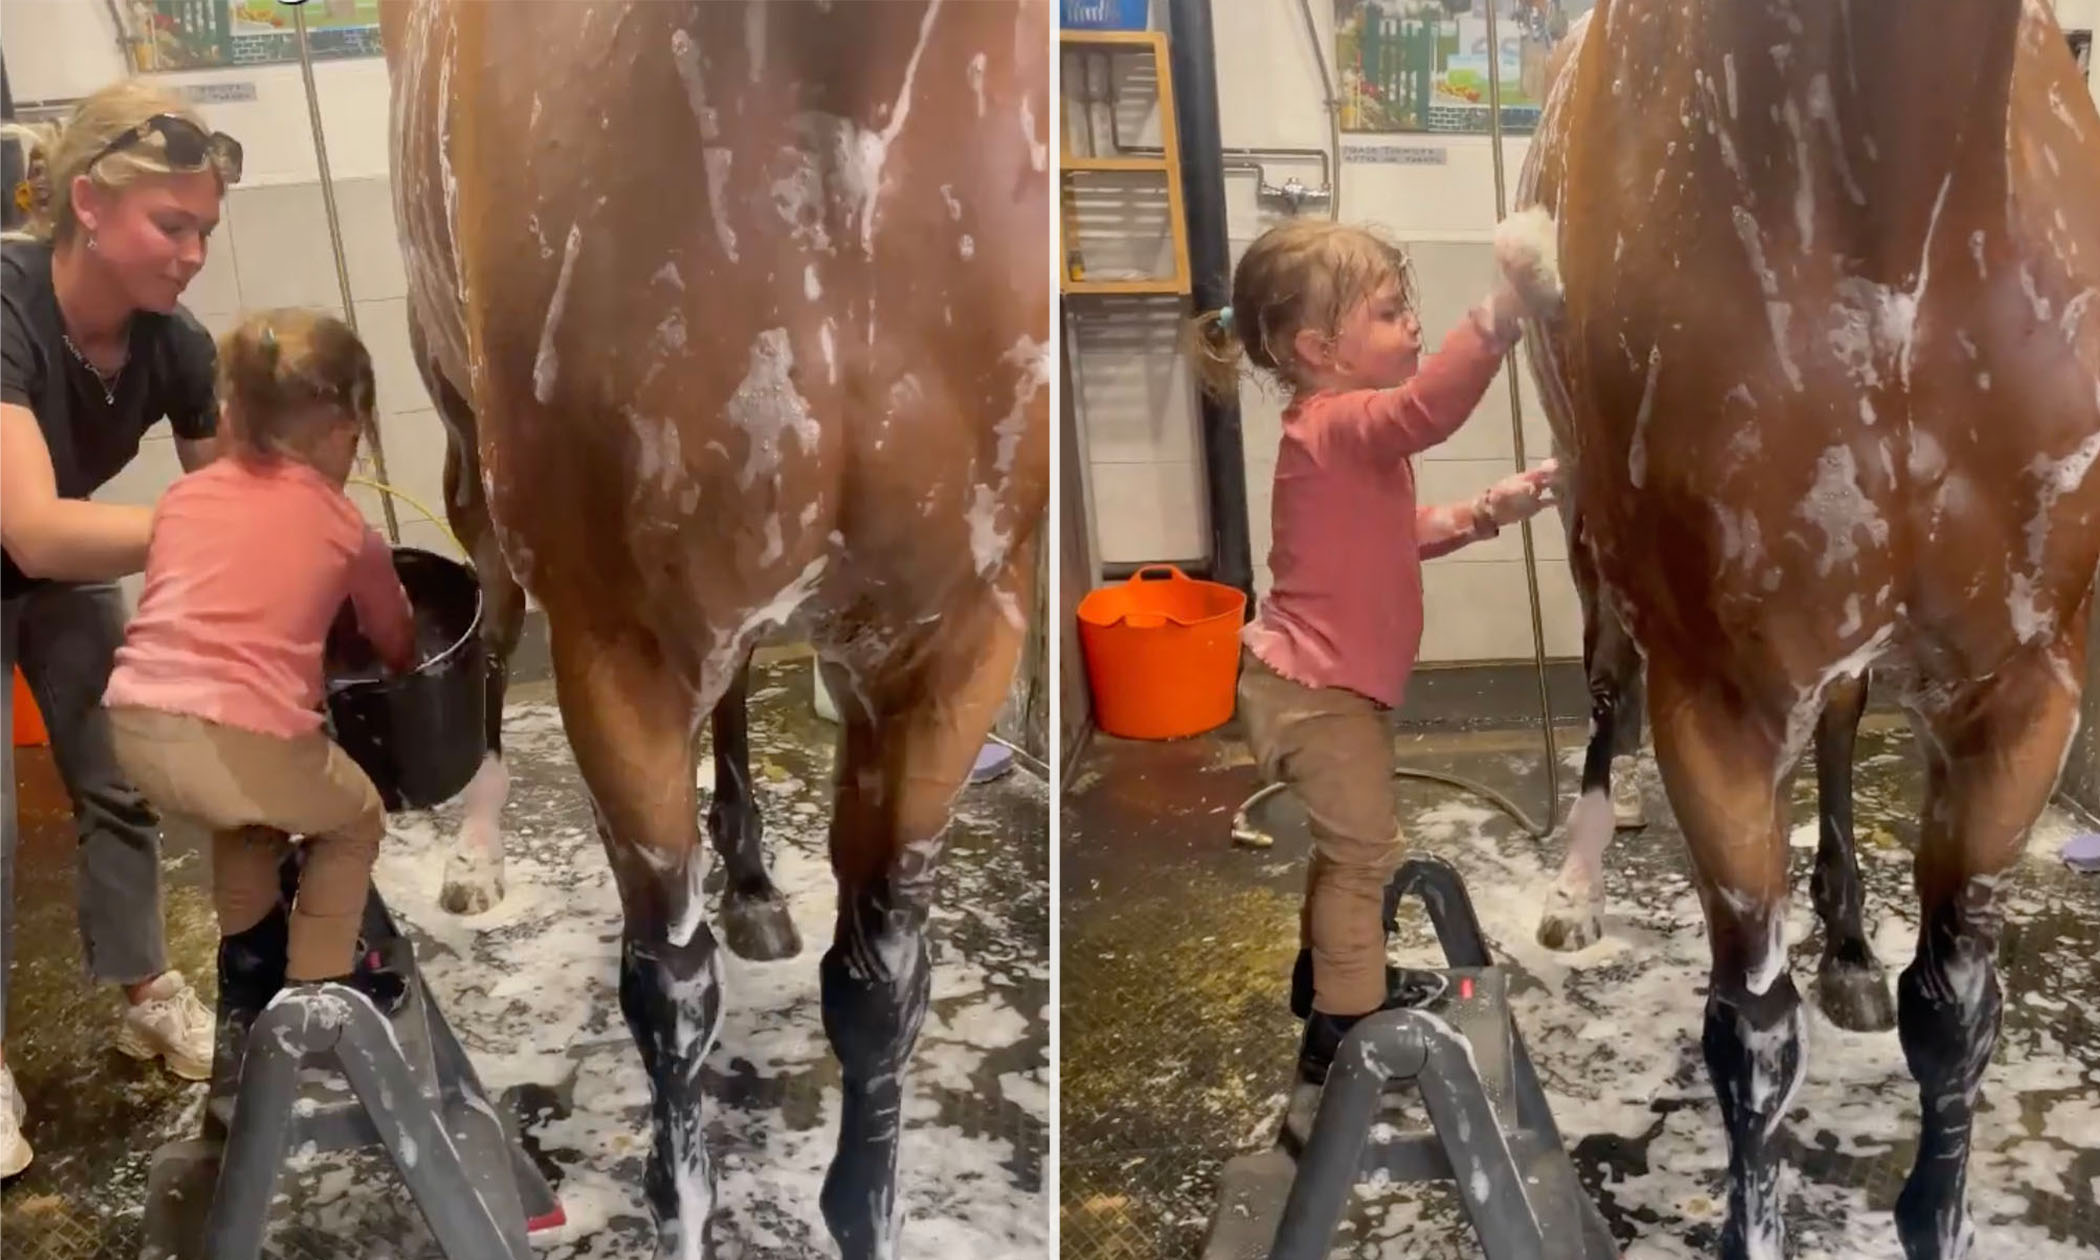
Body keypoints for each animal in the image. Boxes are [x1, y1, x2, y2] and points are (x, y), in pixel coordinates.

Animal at [377, 4, 1050, 1251]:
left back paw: (748, 879)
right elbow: (671, 997)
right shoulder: (621, 658)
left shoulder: (951, 643)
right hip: (466, 449)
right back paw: (481, 854)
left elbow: (879, 990)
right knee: (490, 615)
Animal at [1528, 4, 2100, 1251]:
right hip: (1582, 516)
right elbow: (1750, 1039)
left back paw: (1845, 943)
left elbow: (1953, 1016)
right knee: (1605, 685)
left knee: (1839, 721)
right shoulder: (1717, 706)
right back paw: (1576, 894)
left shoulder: (2021, 692)